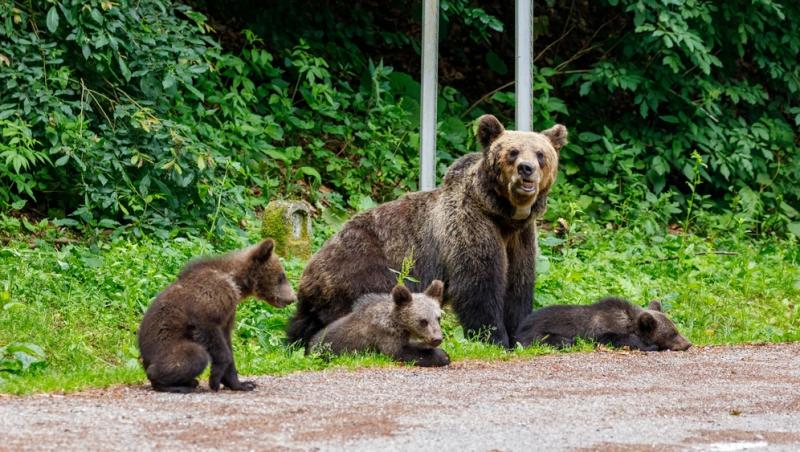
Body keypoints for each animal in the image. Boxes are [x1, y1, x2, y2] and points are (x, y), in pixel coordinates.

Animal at [138, 240, 296, 392]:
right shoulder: (207, 304)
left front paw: (241, 384)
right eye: (281, 276)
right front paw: (214, 380)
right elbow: (215, 339)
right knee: (195, 354)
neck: (236, 282)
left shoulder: (229, 312)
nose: (292, 298)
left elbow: (228, 342)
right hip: (167, 348)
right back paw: (178, 385)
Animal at [288, 115, 564, 348]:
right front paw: (495, 338)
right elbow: (479, 285)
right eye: (513, 152)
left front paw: (522, 334)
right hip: (364, 271)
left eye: (540, 154)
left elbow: (518, 286)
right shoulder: (469, 227)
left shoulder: (521, 238)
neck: (503, 215)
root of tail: (308, 273)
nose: (526, 168)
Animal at [308, 278, 450, 368]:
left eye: (438, 318)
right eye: (423, 321)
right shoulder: (385, 335)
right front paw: (442, 355)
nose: (437, 338)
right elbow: (399, 352)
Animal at [516, 298, 692, 352]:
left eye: (676, 329)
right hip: (539, 334)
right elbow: (617, 339)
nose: (688, 343)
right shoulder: (603, 331)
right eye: (673, 333)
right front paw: (650, 346)